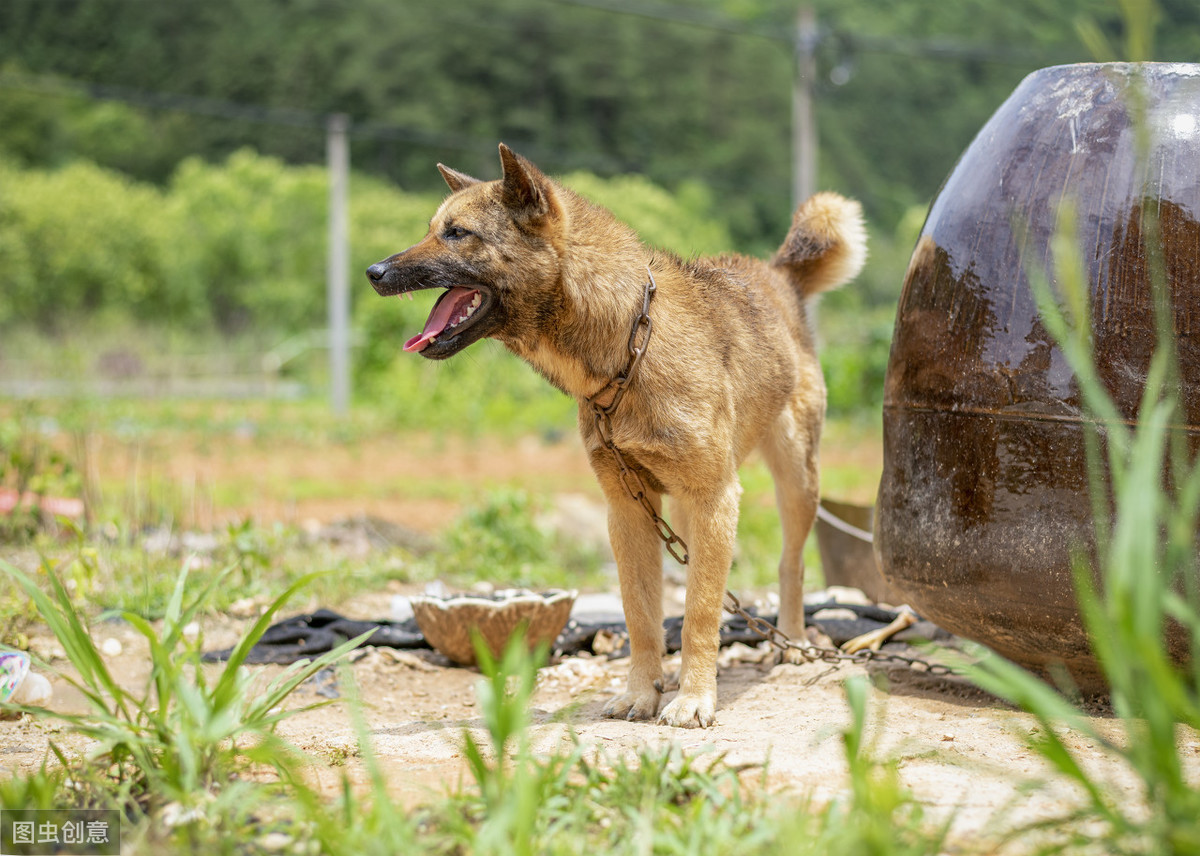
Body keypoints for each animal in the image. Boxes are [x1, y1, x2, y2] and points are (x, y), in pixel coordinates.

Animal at [364, 143, 864, 725]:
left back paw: (790, 642)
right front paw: (643, 692)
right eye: (431, 229)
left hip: (795, 483)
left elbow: (699, 616)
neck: (630, 349)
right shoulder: (629, 510)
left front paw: (695, 699)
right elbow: (642, 614)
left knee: (791, 565)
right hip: (693, 514)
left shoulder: (715, 496)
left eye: (458, 233)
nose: (373, 271)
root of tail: (778, 274)